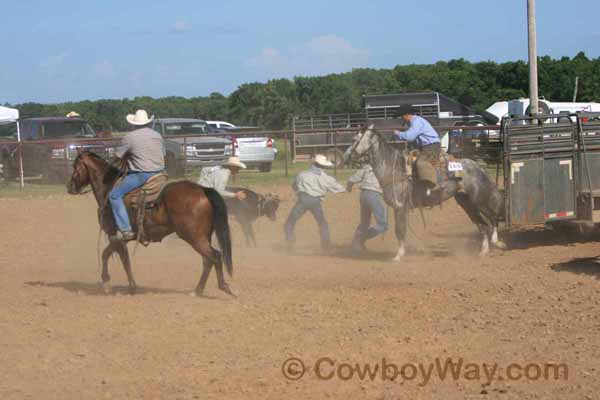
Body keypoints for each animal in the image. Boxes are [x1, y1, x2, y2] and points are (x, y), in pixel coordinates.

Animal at [65, 152, 234, 298]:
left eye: (75, 166)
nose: (69, 187)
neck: (108, 189)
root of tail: (203, 190)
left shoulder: (116, 236)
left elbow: (109, 255)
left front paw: (109, 283)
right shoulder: (121, 239)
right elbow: (123, 259)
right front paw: (130, 286)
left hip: (194, 237)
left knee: (215, 256)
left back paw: (225, 287)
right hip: (204, 236)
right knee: (207, 260)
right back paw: (197, 290)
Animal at [346, 124, 506, 260]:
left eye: (354, 139)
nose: (348, 156)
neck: (394, 169)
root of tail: (476, 166)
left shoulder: (399, 207)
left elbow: (399, 230)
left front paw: (398, 256)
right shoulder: (401, 209)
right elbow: (402, 230)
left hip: (478, 201)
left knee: (492, 218)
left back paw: (497, 241)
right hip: (466, 203)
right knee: (482, 224)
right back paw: (483, 251)